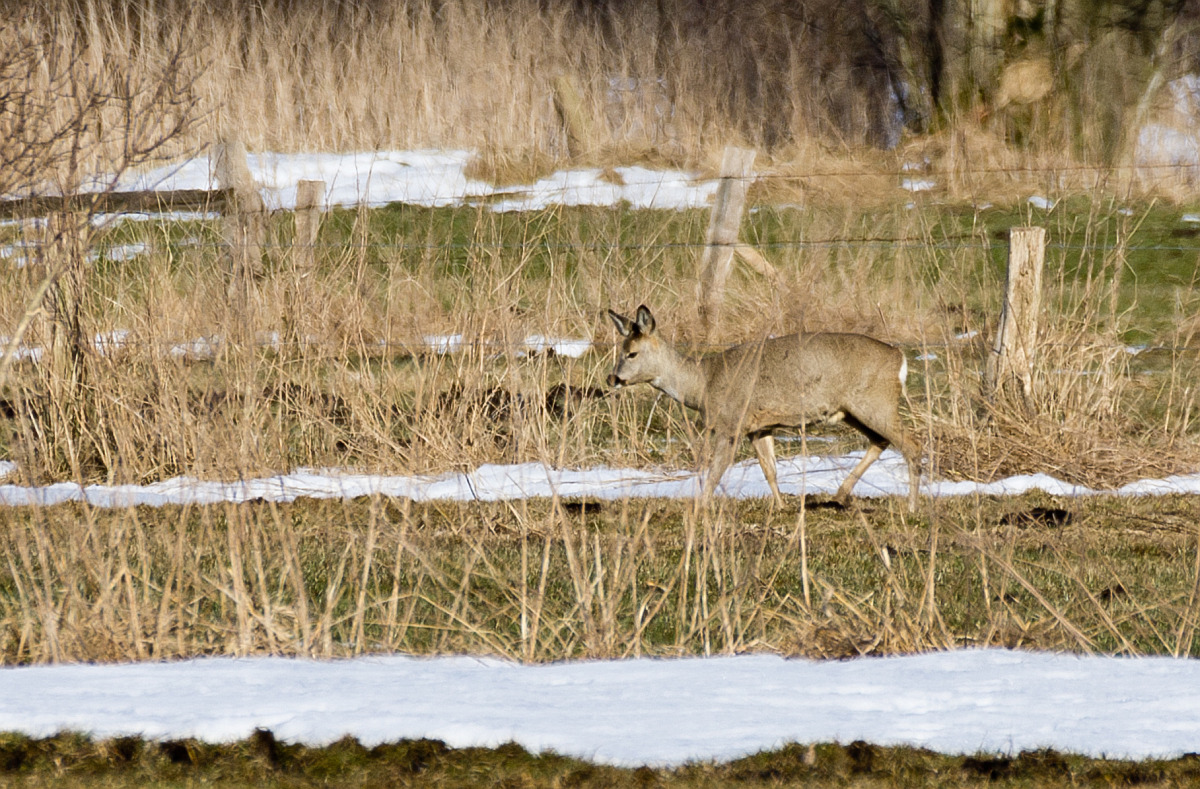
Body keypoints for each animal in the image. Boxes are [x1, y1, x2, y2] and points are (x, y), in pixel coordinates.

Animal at [604, 300, 921, 510]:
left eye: (632, 353)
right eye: (620, 350)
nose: (612, 378)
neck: (703, 383)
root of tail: (899, 358)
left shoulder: (731, 423)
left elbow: (716, 470)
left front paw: (701, 507)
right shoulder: (759, 427)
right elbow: (769, 469)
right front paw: (780, 505)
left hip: (875, 402)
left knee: (911, 444)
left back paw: (911, 506)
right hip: (853, 410)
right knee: (881, 441)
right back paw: (839, 495)